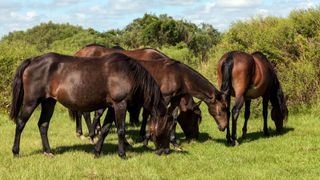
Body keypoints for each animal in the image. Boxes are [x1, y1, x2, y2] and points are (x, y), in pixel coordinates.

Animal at [8, 52, 171, 159]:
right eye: (168, 128)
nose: (166, 151)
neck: (128, 73)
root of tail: (32, 60)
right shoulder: (120, 104)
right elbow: (120, 130)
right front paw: (122, 154)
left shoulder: (112, 106)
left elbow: (105, 129)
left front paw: (97, 152)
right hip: (31, 102)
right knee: (20, 123)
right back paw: (16, 152)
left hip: (49, 102)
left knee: (43, 125)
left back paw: (48, 151)